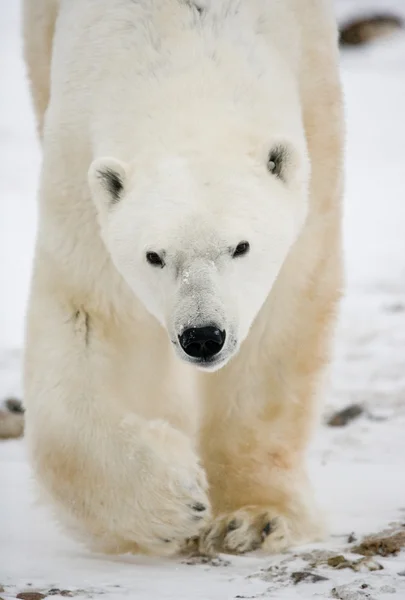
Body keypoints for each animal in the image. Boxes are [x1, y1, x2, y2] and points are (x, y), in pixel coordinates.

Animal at [22, 0, 344, 556]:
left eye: (241, 246)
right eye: (155, 255)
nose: (202, 336)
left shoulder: (315, 117)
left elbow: (281, 323)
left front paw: (254, 517)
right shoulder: (78, 175)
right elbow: (88, 316)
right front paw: (174, 498)